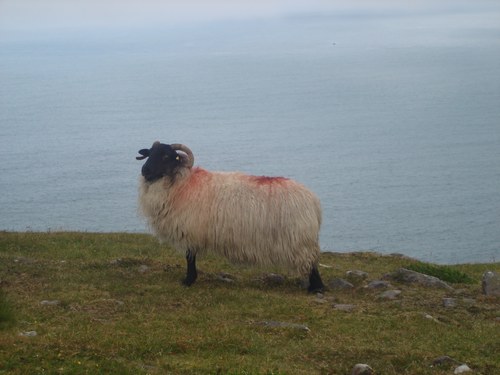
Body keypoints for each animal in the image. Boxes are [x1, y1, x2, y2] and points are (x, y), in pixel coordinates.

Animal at [137, 142, 324, 292]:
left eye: (166, 156)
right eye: (150, 153)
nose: (144, 170)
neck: (182, 184)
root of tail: (313, 201)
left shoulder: (191, 230)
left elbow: (190, 257)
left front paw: (188, 280)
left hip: (300, 240)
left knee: (311, 263)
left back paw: (316, 288)